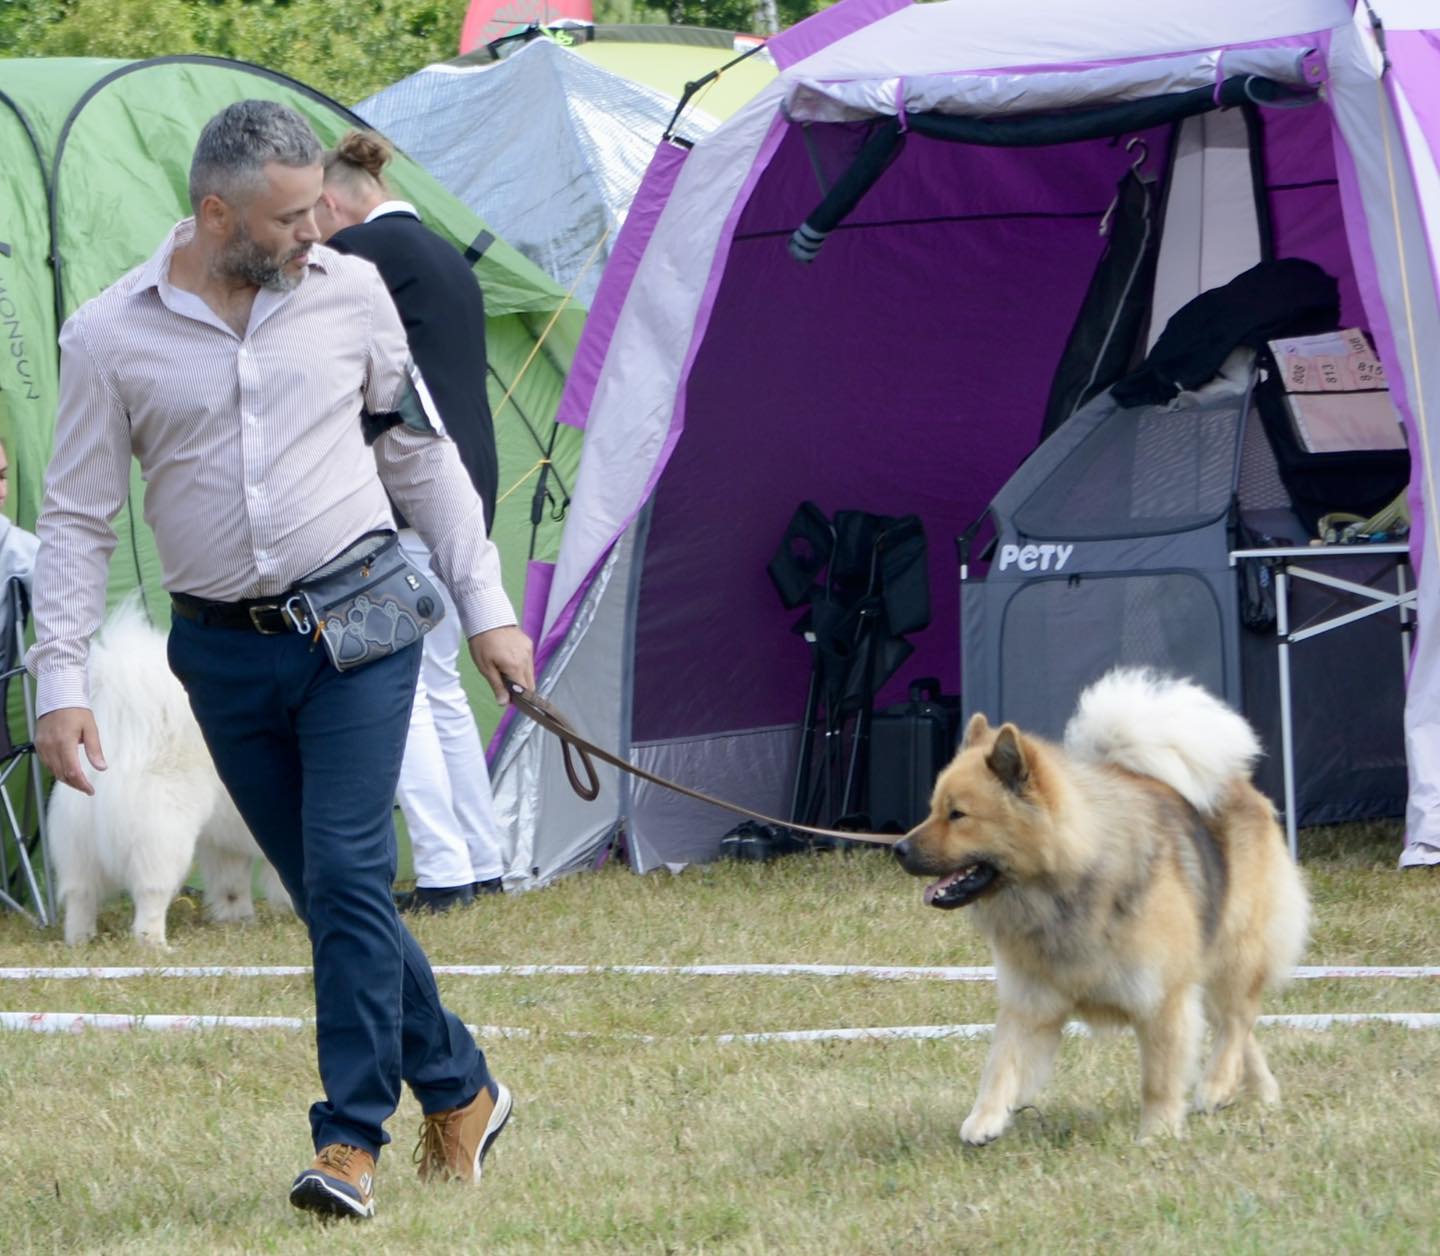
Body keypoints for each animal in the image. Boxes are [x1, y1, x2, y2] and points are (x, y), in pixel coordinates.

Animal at [47, 599, 291, 947]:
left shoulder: (227, 838)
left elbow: (232, 885)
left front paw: (238, 921)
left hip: (79, 841)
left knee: (80, 894)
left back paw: (80, 940)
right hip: (163, 836)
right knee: (151, 893)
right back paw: (154, 944)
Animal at [894, 667, 1309, 1144]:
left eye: (958, 815)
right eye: (933, 810)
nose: (899, 848)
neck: (1062, 890)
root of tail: (1239, 786)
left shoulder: (1162, 997)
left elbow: (1160, 1077)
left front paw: (1157, 1133)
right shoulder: (1031, 1001)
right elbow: (1002, 1065)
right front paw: (986, 1120)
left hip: (1233, 947)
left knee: (1237, 1018)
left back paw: (1217, 1084)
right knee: (1234, 1025)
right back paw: (1258, 1093)